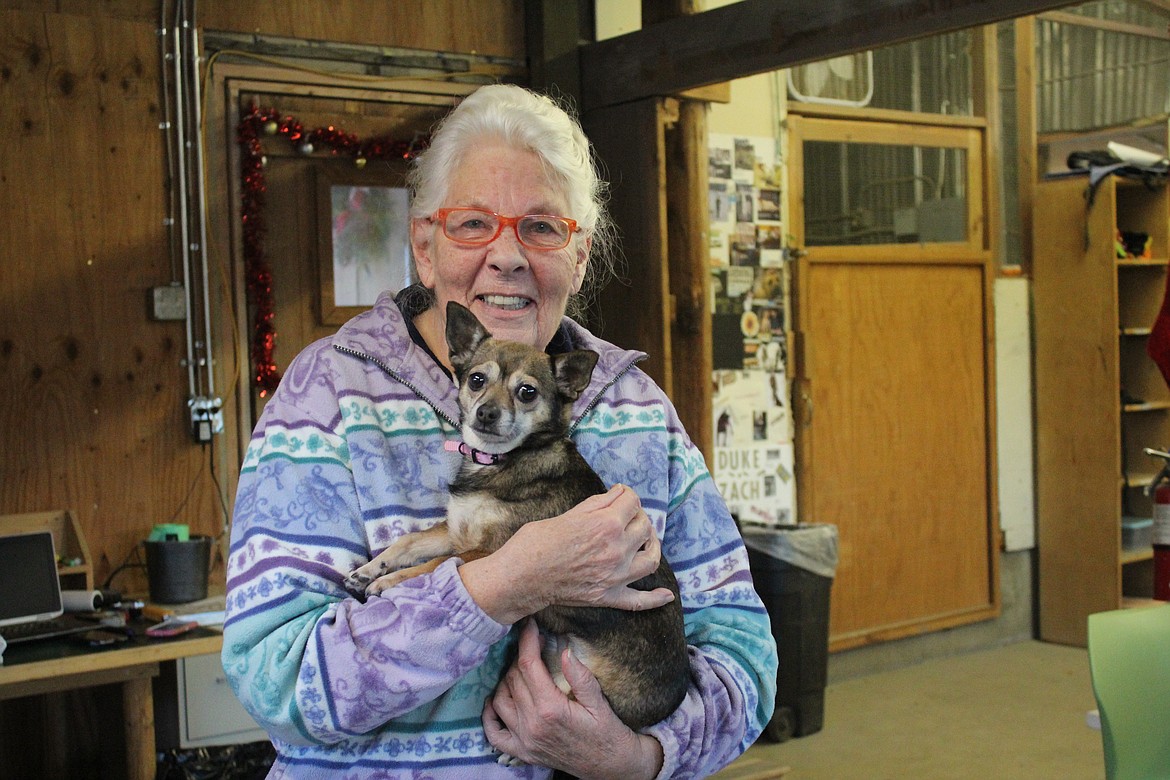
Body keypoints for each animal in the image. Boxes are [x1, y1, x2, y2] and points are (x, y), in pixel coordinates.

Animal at [346, 301, 692, 734]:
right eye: (476, 380)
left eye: (527, 392)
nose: (486, 412)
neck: (499, 462)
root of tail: (672, 700)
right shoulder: (455, 532)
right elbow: (409, 543)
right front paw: (370, 570)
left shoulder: (488, 550)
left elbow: (435, 564)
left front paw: (391, 581)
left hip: (579, 689)